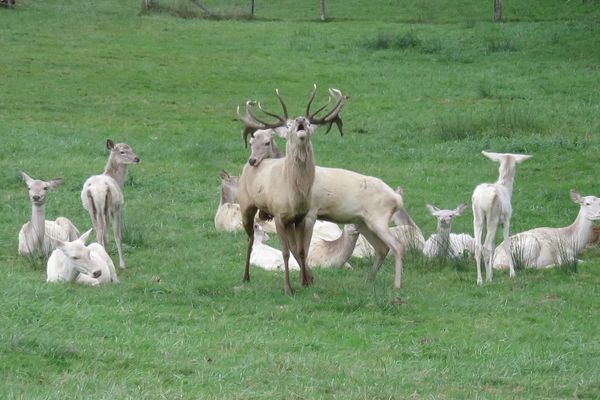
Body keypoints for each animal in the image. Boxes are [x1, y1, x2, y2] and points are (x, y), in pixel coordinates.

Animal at [80, 140, 140, 268]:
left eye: (131, 149)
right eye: (122, 152)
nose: (137, 158)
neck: (118, 181)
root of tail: (94, 190)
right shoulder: (117, 208)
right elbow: (118, 235)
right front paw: (122, 264)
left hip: (92, 209)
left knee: (98, 233)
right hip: (106, 207)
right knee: (105, 235)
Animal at [238, 86, 350, 296]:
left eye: (307, 122)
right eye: (289, 125)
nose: (300, 120)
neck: (294, 196)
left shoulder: (299, 217)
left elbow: (301, 250)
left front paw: (306, 281)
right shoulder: (279, 216)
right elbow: (284, 252)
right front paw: (288, 288)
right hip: (245, 205)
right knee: (249, 238)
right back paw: (245, 277)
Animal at [474, 150, 528, 284]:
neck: (506, 189)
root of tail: (481, 198)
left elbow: (493, 246)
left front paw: (492, 273)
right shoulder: (506, 220)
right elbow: (507, 244)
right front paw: (512, 273)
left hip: (478, 218)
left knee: (478, 246)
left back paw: (480, 280)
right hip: (492, 219)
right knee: (485, 246)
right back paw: (488, 279)